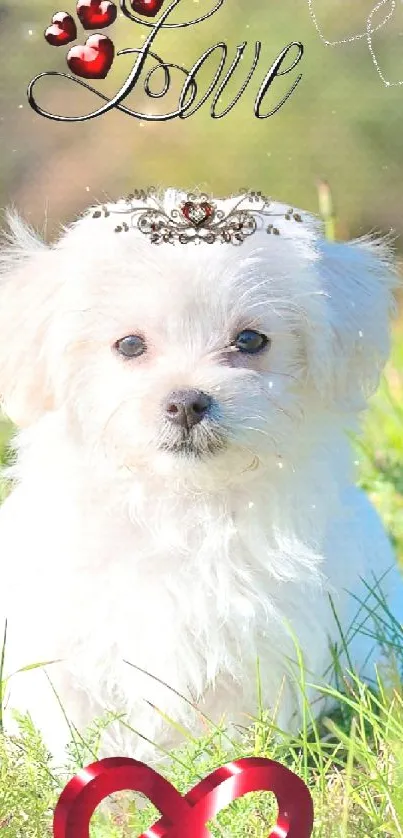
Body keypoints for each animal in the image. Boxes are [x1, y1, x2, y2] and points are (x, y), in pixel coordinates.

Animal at [0, 192, 402, 768]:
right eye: (129, 345)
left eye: (251, 339)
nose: (187, 402)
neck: (183, 501)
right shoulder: (61, 631)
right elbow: (69, 719)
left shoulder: (263, 643)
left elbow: (238, 726)